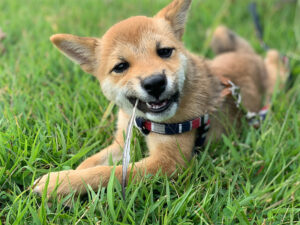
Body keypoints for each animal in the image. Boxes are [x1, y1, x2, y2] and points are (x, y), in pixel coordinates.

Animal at [32, 0, 286, 197]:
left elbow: (108, 173)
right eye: (120, 66)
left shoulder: (169, 162)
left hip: (275, 83)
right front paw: (71, 175)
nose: (155, 82)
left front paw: (60, 183)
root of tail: (247, 56)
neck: (142, 121)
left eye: (164, 51)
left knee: (276, 62)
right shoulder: (121, 143)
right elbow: (90, 163)